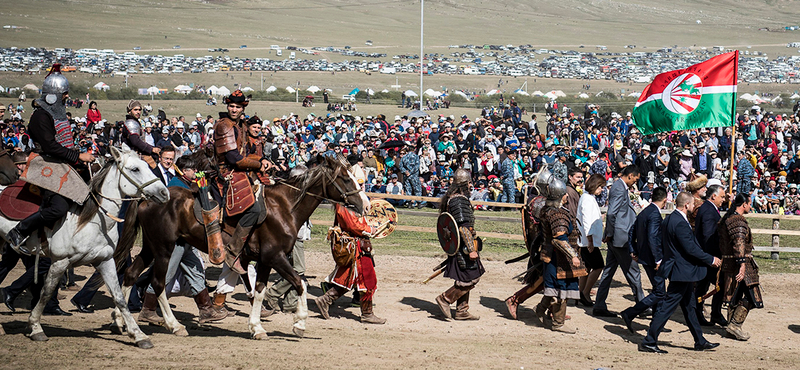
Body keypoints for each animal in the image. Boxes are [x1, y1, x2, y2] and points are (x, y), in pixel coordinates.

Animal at [0, 146, 167, 348]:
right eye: (135, 169)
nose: (164, 193)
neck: (91, 221)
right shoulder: (60, 262)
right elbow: (46, 292)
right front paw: (35, 327)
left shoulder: (105, 261)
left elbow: (119, 298)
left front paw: (139, 335)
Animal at [113, 152, 368, 340]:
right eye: (345, 178)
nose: (364, 204)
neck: (285, 207)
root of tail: (146, 197)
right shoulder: (276, 256)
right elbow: (299, 283)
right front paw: (300, 323)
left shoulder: (264, 260)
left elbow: (259, 290)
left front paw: (257, 327)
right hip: (163, 249)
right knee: (157, 283)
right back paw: (174, 325)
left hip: (150, 248)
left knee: (131, 274)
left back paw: (121, 320)